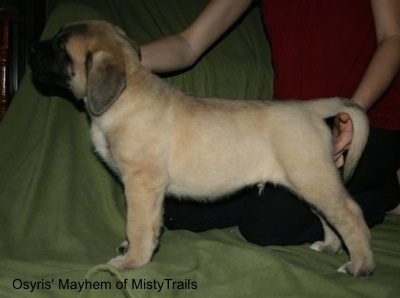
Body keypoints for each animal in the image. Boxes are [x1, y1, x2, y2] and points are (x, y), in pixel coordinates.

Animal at [30, 20, 376, 278]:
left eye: (61, 45)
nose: (33, 48)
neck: (125, 95)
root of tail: (310, 109)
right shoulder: (145, 190)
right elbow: (144, 223)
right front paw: (132, 250)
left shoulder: (141, 184)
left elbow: (137, 223)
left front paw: (131, 261)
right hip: (308, 180)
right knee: (328, 216)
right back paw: (330, 246)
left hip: (312, 177)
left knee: (350, 213)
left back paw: (360, 265)